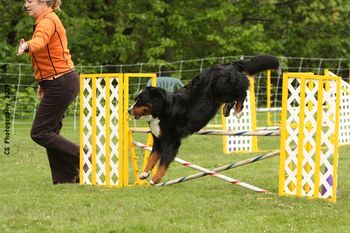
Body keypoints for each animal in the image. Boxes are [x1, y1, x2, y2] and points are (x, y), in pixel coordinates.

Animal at [129, 54, 278, 184]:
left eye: (140, 101)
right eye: (136, 100)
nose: (128, 110)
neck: (162, 112)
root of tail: (229, 64)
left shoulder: (171, 141)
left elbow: (163, 162)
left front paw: (155, 179)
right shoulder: (158, 140)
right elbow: (152, 158)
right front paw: (144, 173)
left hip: (222, 89)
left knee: (243, 90)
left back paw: (238, 111)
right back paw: (227, 109)